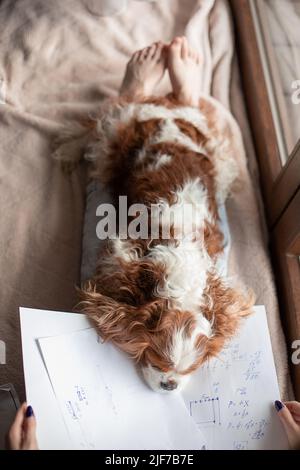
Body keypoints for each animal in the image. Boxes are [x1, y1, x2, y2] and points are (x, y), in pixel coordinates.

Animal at [54, 94, 253, 392]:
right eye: (155, 360)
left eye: (191, 369)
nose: (169, 385)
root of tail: (168, 110)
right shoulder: (121, 256)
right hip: (116, 134)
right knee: (93, 134)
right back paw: (68, 150)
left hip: (217, 155)